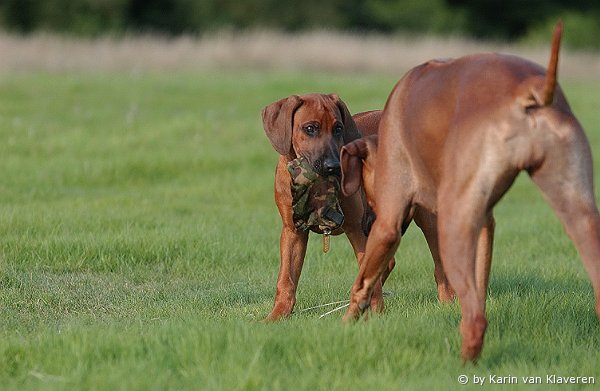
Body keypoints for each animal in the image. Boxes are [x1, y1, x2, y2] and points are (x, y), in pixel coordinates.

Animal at [262, 95, 394, 322]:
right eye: (310, 128)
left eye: (338, 128)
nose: (333, 166)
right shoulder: (292, 231)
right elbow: (286, 279)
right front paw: (277, 315)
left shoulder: (356, 229)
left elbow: (369, 276)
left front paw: (375, 315)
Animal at [340, 22, 600, 362]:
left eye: (366, 192)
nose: (366, 221)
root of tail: (529, 88)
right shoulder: (484, 222)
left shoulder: (390, 224)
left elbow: (362, 282)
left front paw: (343, 325)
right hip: (578, 211)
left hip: (451, 226)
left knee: (476, 320)